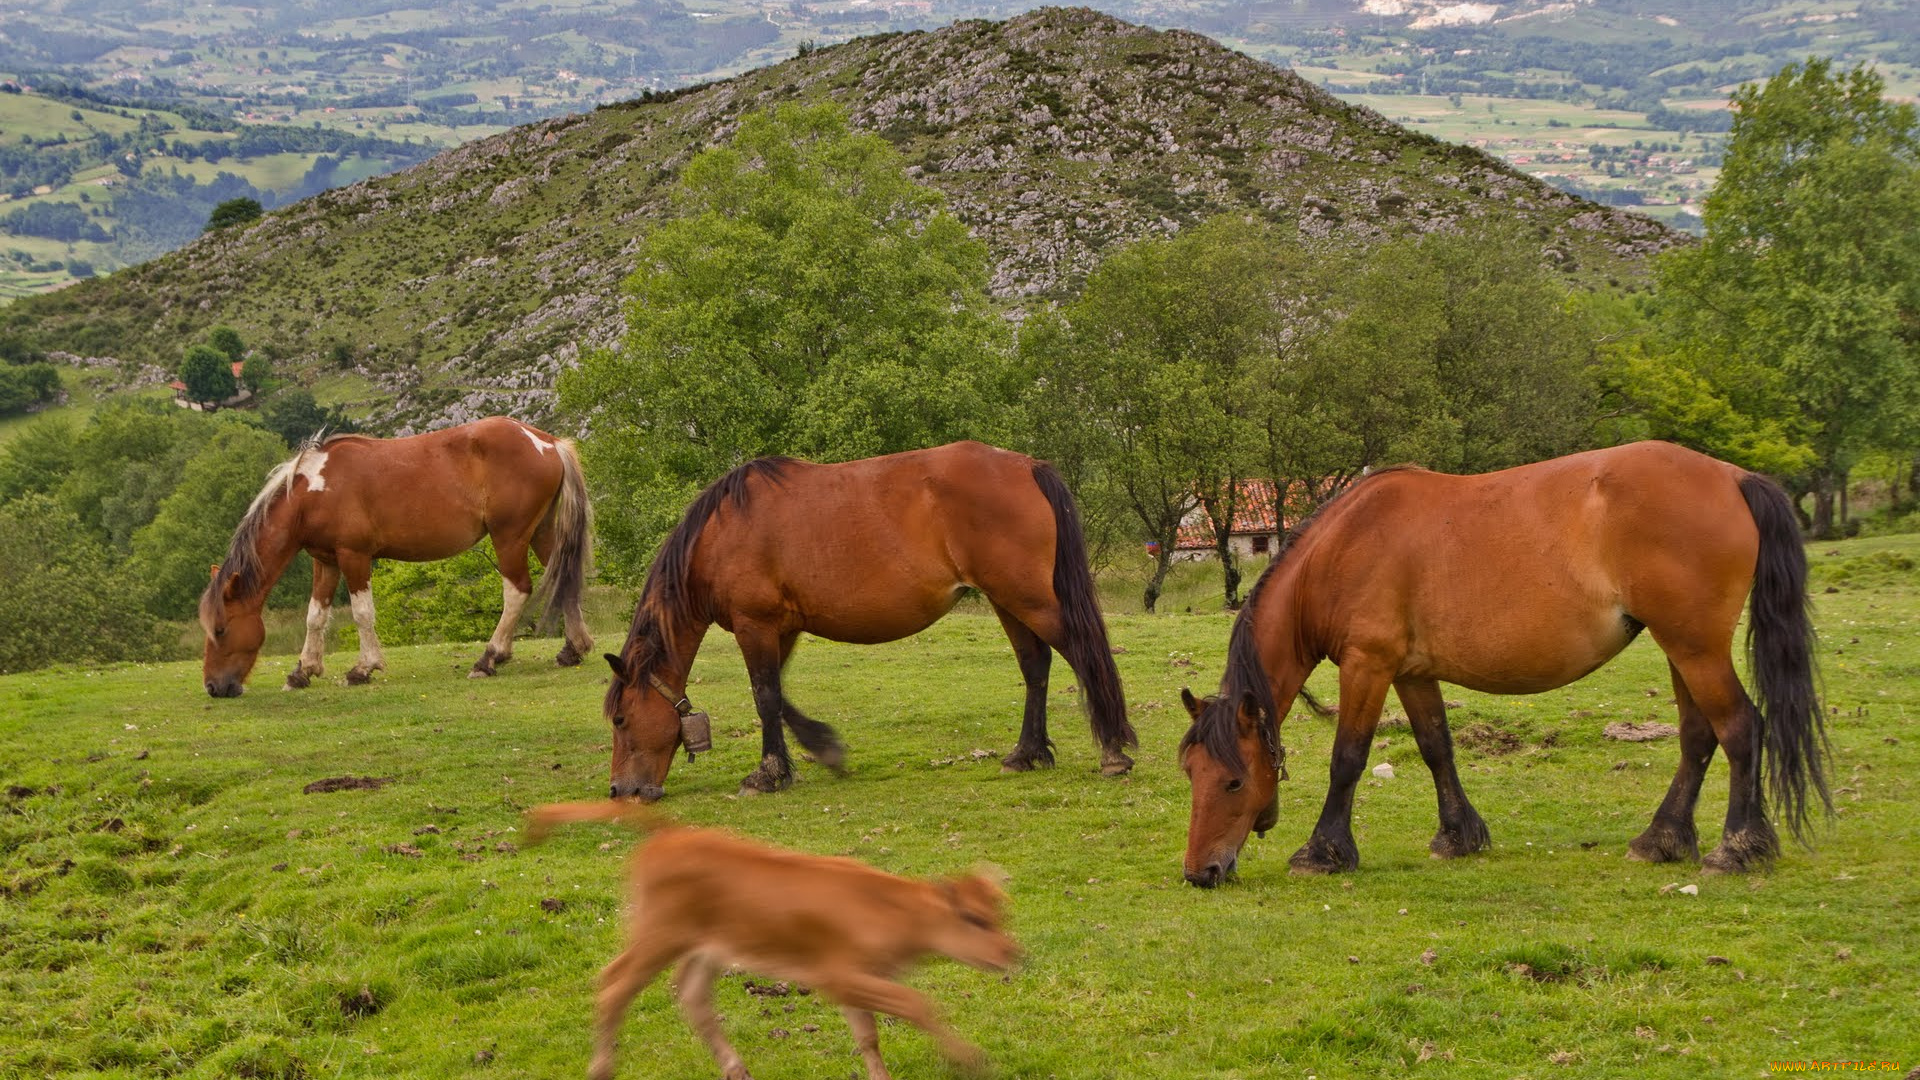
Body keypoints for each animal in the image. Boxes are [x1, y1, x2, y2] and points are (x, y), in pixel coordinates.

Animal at [199, 416, 594, 697]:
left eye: (220, 629)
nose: (214, 687)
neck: (313, 490)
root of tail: (547, 442)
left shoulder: (354, 556)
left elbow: (362, 613)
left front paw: (363, 669)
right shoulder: (325, 560)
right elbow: (315, 616)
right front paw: (302, 672)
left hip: (510, 537)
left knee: (517, 591)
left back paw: (489, 658)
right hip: (541, 533)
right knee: (565, 581)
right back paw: (572, 649)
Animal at [601, 441, 1136, 800]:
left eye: (622, 719)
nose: (620, 790)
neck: (722, 531)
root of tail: (1027, 466)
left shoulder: (756, 625)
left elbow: (766, 696)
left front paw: (767, 774)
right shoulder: (782, 628)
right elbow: (781, 698)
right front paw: (823, 750)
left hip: (1028, 598)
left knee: (1082, 653)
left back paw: (1112, 752)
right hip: (1009, 601)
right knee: (1035, 666)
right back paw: (1027, 753)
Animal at [1178, 441, 1828, 886]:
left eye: (1234, 780)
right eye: (1191, 773)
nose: (1199, 872)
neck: (1344, 547)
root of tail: (1733, 476)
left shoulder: (1368, 665)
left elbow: (1348, 759)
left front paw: (1323, 851)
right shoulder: (1411, 672)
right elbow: (1436, 747)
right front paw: (1459, 836)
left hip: (1695, 648)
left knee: (1740, 728)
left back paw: (1737, 847)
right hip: (1682, 649)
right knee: (1698, 736)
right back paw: (1662, 839)